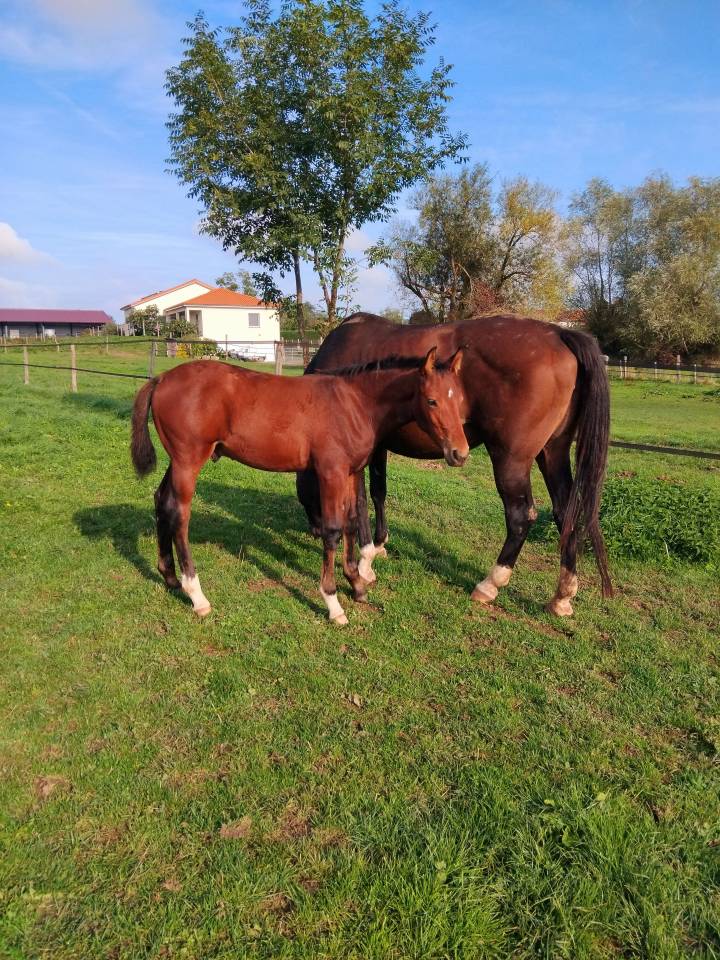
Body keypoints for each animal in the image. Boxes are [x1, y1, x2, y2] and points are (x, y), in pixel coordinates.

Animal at [130, 348, 469, 624]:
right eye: (432, 401)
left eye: (461, 400)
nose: (460, 453)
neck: (355, 404)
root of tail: (160, 379)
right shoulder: (331, 472)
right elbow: (332, 530)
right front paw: (333, 602)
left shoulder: (349, 473)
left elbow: (349, 523)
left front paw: (356, 584)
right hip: (189, 460)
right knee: (180, 515)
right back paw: (196, 595)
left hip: (177, 461)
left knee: (162, 501)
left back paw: (170, 578)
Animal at [297, 312, 613, 616]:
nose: (314, 529)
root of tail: (559, 333)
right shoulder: (378, 447)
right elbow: (379, 493)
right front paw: (379, 545)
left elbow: (361, 501)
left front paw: (365, 562)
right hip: (553, 452)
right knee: (565, 513)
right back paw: (563, 595)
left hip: (511, 459)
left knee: (521, 517)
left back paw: (490, 584)